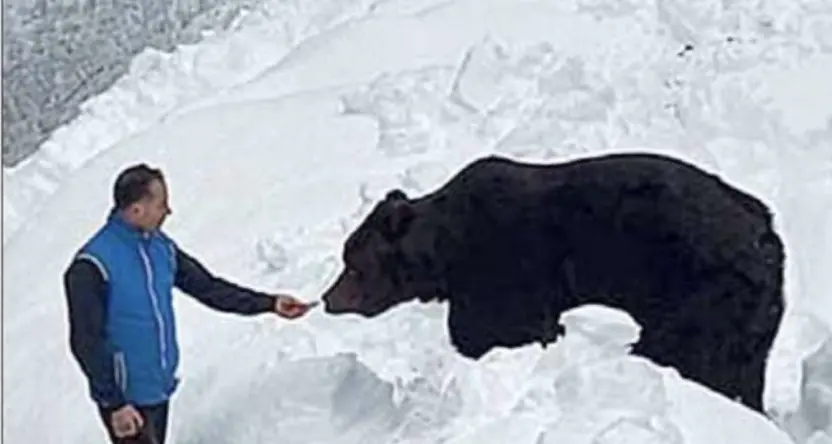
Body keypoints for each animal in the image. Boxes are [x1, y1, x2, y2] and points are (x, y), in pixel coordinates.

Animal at [320, 152, 786, 414]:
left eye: (353, 265)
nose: (328, 298)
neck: (444, 256)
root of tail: (767, 239)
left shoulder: (501, 268)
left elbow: (496, 331)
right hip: (751, 320)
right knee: (741, 373)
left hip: (701, 290)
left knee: (683, 353)